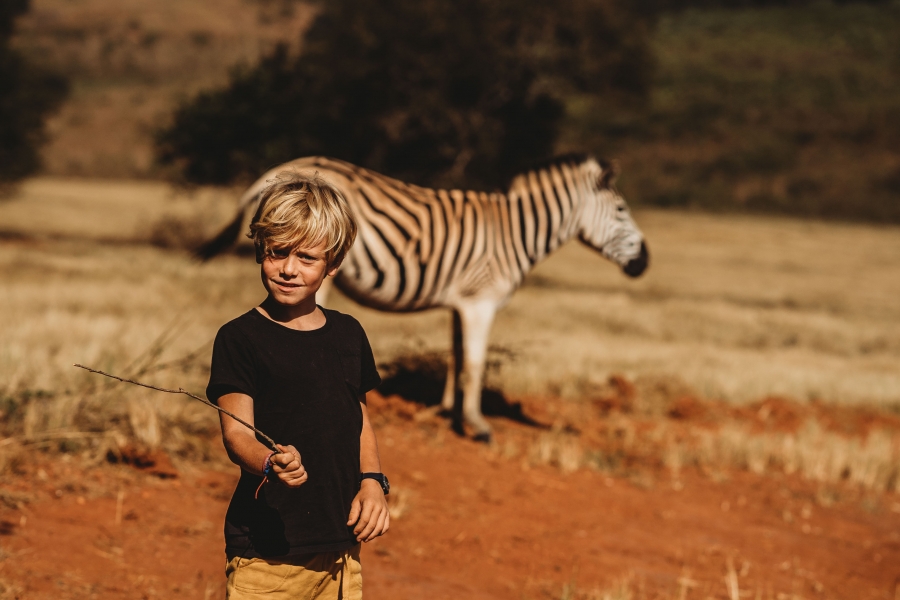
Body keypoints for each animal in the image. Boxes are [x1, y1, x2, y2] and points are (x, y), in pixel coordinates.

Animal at [199, 157, 648, 442]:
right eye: (622, 210)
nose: (645, 261)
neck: (515, 232)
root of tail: (281, 169)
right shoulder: (481, 302)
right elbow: (475, 363)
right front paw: (477, 425)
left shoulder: (462, 303)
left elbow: (456, 356)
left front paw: (447, 412)